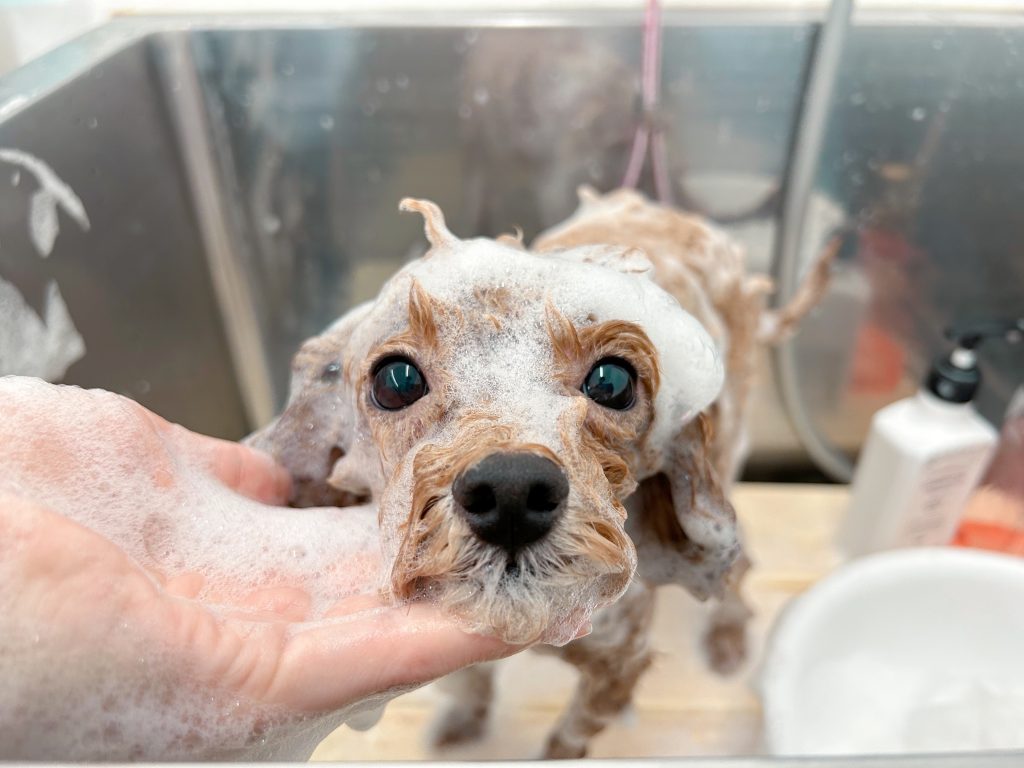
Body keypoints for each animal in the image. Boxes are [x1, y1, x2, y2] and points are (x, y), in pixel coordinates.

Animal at [250, 190, 832, 757]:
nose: (511, 491)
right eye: (397, 380)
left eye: (613, 381)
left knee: (737, 564)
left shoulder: (617, 664)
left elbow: (567, 739)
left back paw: (728, 639)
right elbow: (471, 683)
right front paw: (463, 724)